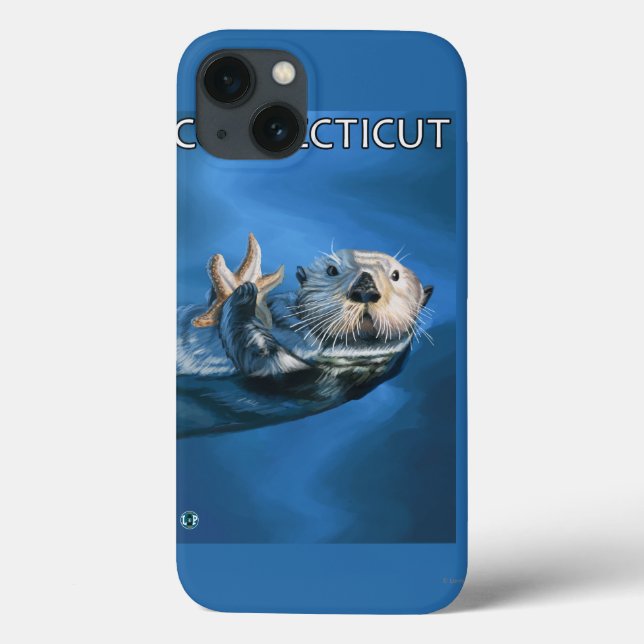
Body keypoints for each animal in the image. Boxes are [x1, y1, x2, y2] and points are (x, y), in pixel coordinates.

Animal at [177, 235, 433, 437]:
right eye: (332, 270)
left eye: (396, 275)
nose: (365, 290)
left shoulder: (310, 380)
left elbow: (261, 360)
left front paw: (244, 291)